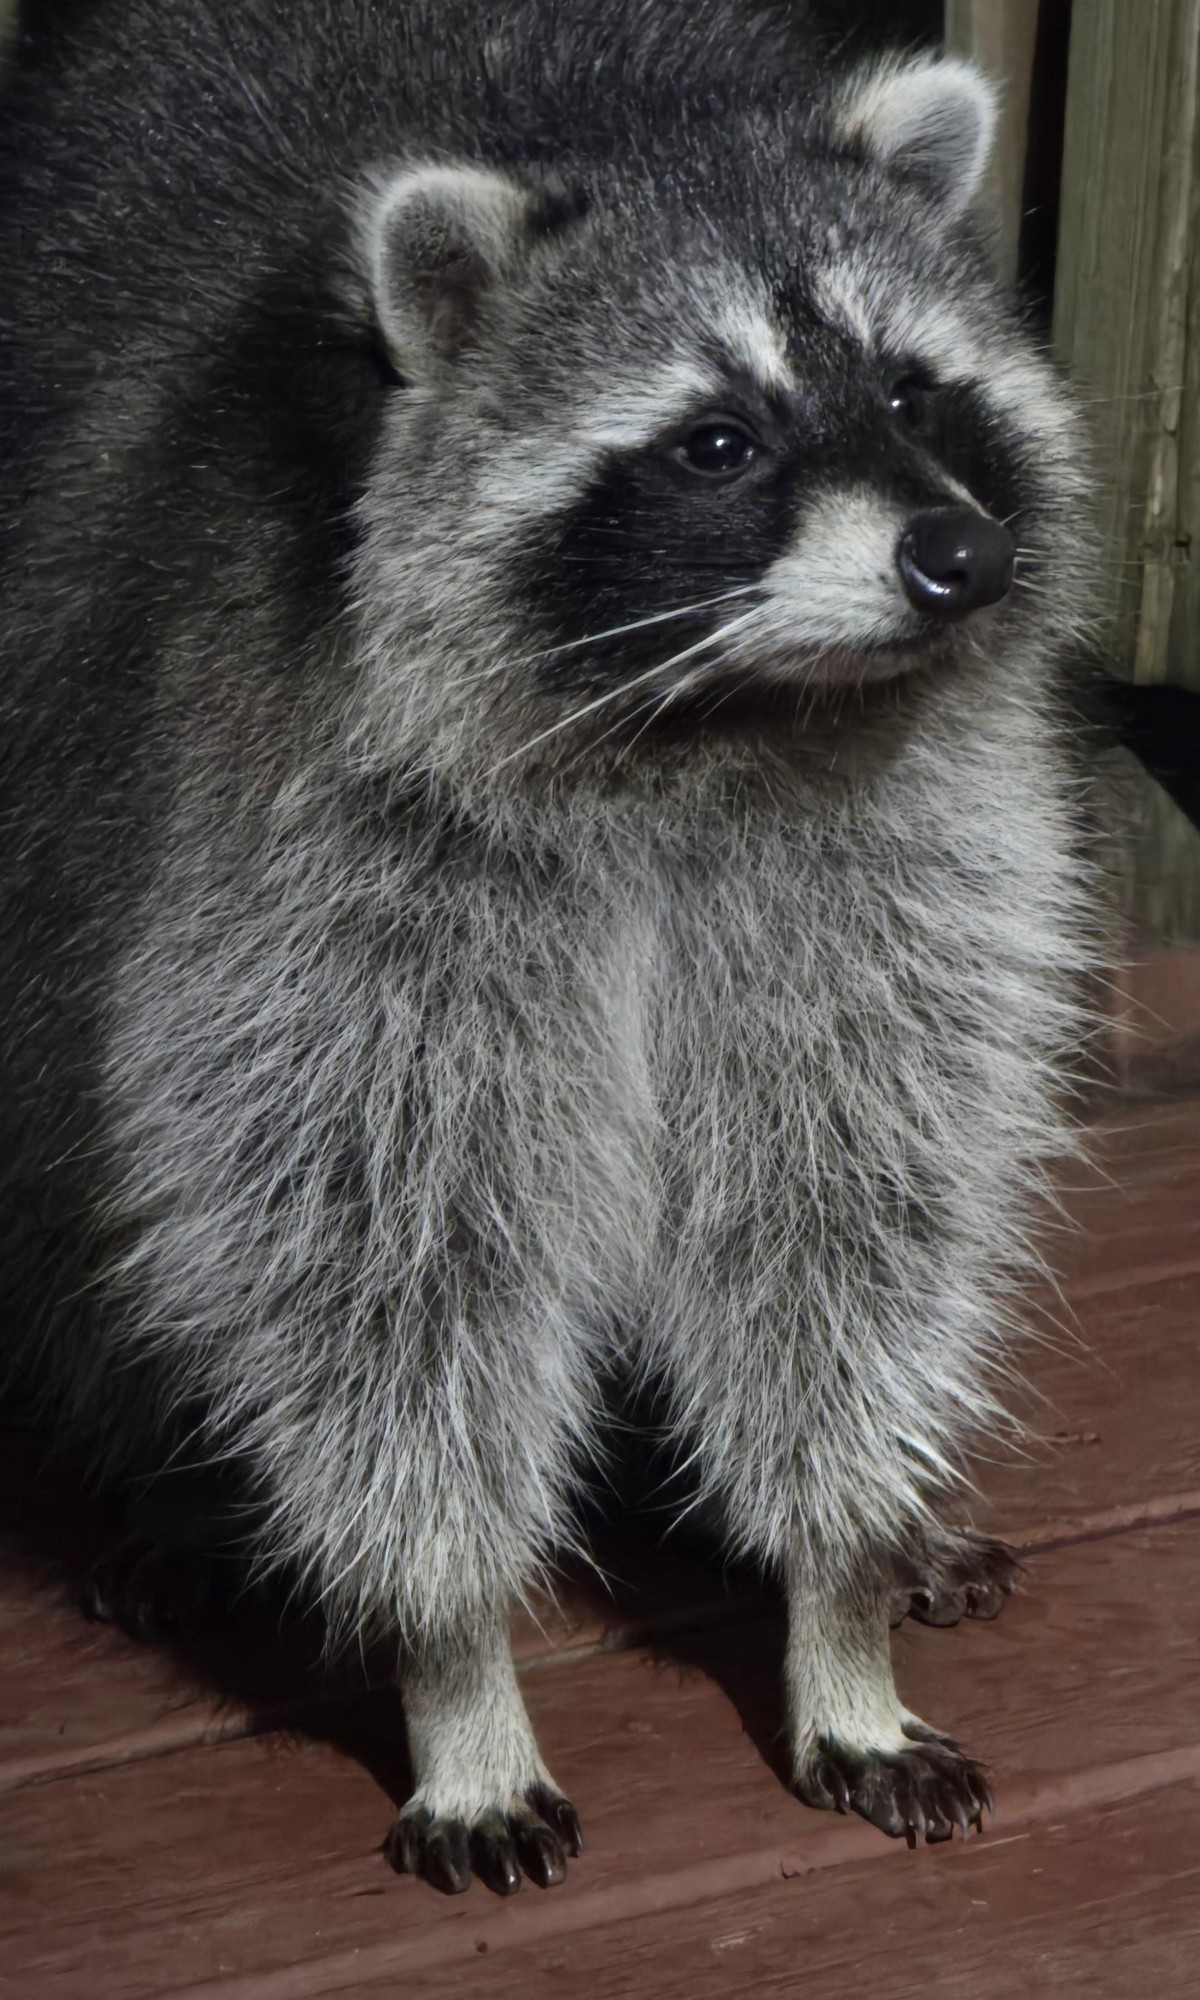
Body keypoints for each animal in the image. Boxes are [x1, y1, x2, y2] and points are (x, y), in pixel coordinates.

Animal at [0, 0, 1096, 1893]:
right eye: (716, 441)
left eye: (911, 389)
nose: (962, 553)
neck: (713, 730)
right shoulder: (314, 856)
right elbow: (379, 1258)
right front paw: (457, 1665)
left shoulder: (881, 862)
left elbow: (850, 1197)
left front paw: (842, 1583)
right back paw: (148, 1478)